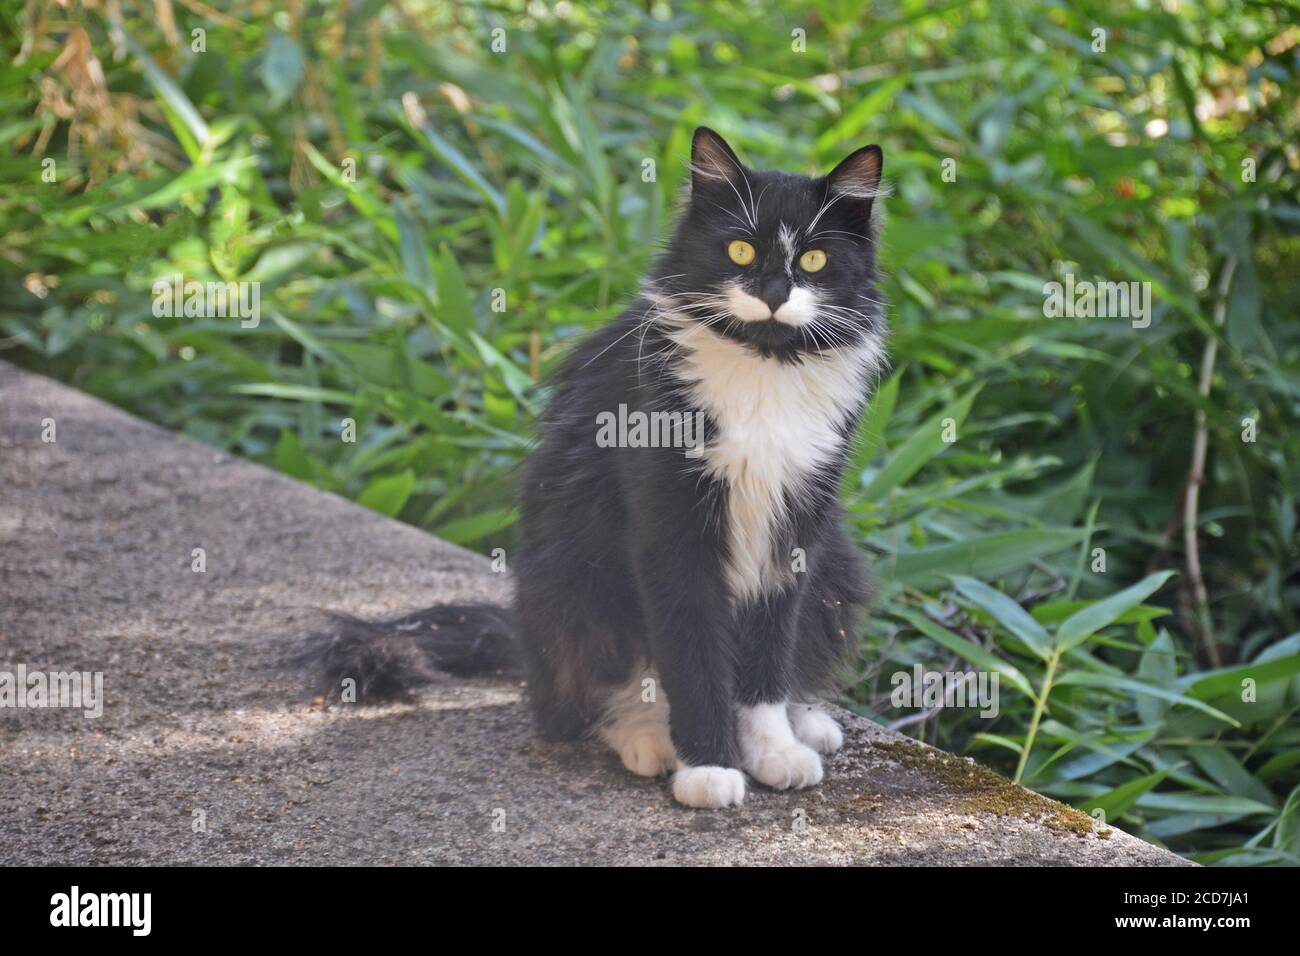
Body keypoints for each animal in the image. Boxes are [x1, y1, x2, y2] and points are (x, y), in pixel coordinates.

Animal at [302, 128, 889, 806]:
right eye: (740, 248)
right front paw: (709, 766)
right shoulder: (670, 531)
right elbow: (694, 660)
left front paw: (770, 749)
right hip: (573, 573)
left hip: (836, 564)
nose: (772, 294)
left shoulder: (795, 528)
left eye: (815, 261)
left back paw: (807, 724)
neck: (762, 366)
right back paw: (648, 740)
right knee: (588, 696)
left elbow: (766, 662)